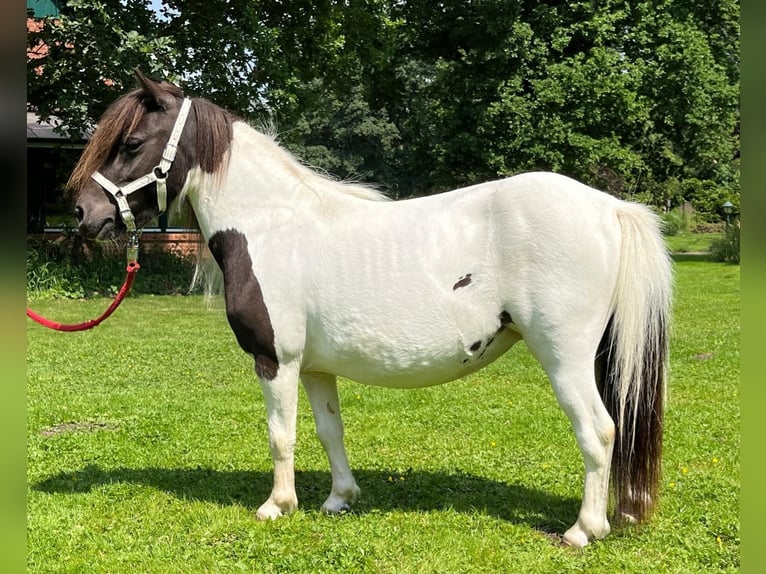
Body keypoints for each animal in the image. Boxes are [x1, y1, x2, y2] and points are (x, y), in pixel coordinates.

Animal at [72, 72, 672, 548]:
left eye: (131, 142)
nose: (82, 213)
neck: (271, 224)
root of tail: (609, 207)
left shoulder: (276, 360)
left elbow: (280, 433)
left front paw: (276, 506)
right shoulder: (313, 367)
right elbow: (327, 431)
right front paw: (339, 499)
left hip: (565, 356)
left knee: (599, 431)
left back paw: (583, 530)